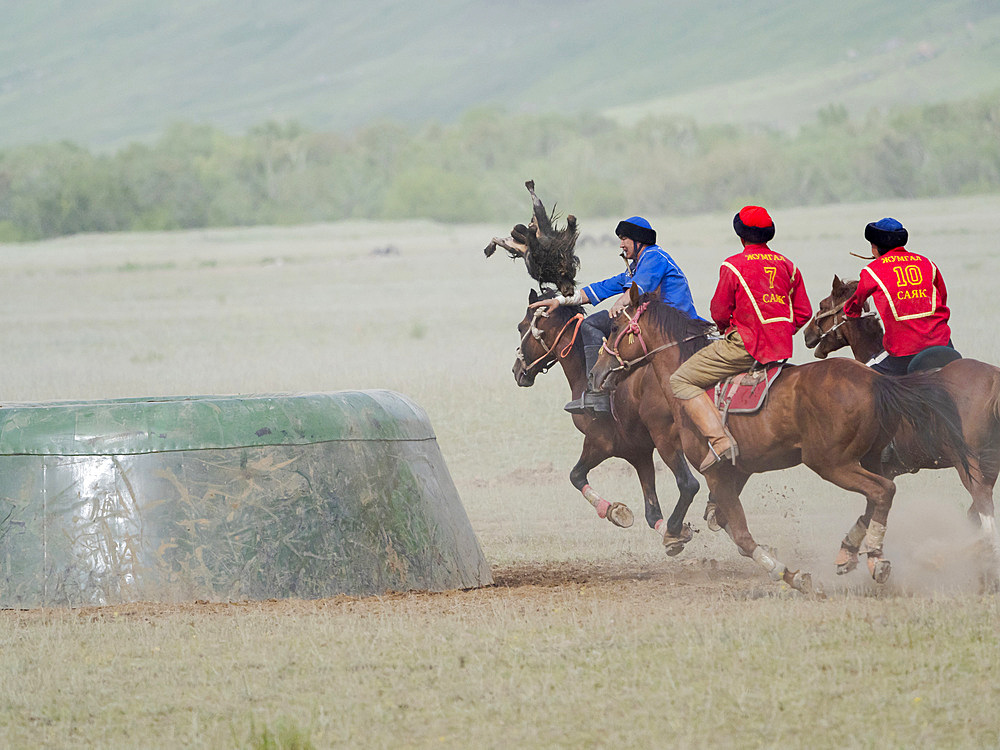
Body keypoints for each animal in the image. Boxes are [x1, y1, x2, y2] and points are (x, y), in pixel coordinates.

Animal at [516, 290, 704, 556]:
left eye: (521, 327)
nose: (516, 371)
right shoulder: (639, 452)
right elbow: (651, 512)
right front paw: (675, 533)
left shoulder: (600, 442)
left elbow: (576, 476)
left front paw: (613, 511)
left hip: (668, 440)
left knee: (689, 484)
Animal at [588, 288, 972, 592]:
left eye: (616, 328)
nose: (596, 372)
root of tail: (875, 380)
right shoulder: (737, 472)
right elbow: (726, 522)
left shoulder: (716, 473)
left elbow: (742, 536)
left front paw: (790, 574)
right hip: (869, 458)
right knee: (876, 496)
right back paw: (849, 552)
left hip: (833, 464)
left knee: (882, 491)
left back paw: (876, 558)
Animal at [800, 276, 1000, 564]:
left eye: (823, 305)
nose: (807, 334)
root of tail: (993, 380)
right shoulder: (887, 472)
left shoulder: (873, 467)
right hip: (990, 464)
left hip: (969, 464)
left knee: (983, 506)